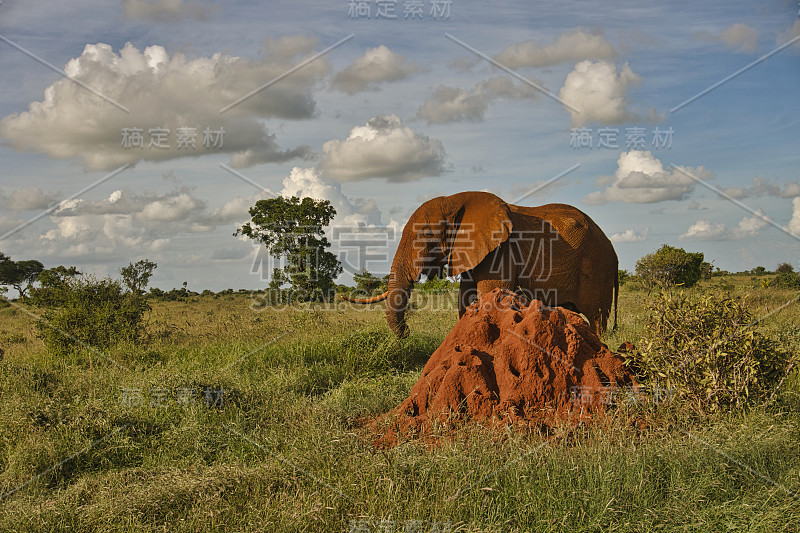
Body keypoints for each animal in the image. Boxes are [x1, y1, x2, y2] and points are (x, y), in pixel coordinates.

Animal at [342, 191, 620, 336]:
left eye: (426, 236)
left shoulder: (502, 251)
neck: (456, 200)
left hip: (597, 268)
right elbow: (464, 300)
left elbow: (491, 294)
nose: (408, 334)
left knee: (597, 317)